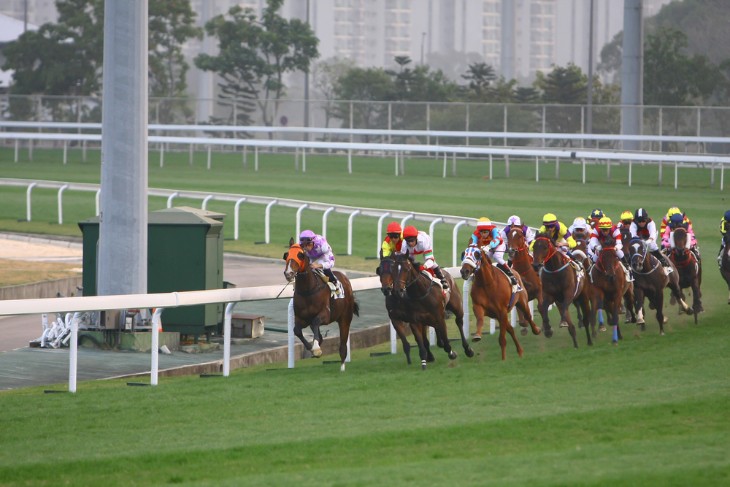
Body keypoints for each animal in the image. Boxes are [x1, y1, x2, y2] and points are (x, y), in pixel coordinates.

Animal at [282, 242, 358, 372]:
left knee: (343, 345)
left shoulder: (325, 315)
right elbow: (297, 330)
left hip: (345, 318)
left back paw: (342, 367)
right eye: (286, 255)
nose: (289, 273)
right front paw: (312, 347)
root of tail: (346, 279)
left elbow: (316, 322)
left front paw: (316, 348)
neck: (308, 290)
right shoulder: (302, 318)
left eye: (300, 255)